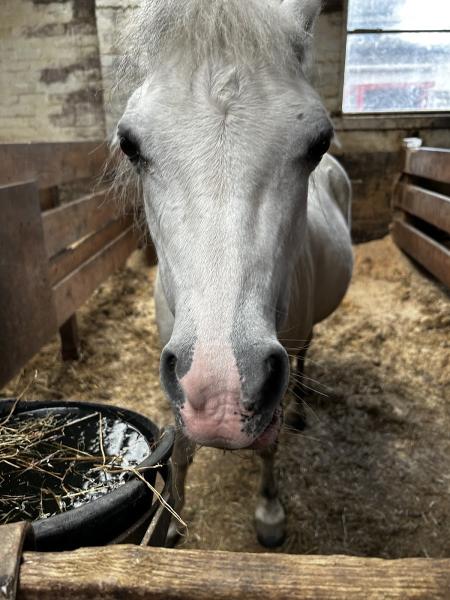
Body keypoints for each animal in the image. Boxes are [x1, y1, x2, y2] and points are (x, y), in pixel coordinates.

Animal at [115, 0, 352, 548]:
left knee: (303, 359)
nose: (220, 391)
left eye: (318, 142)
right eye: (129, 144)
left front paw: (269, 513)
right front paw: (172, 521)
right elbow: (180, 446)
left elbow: (268, 446)